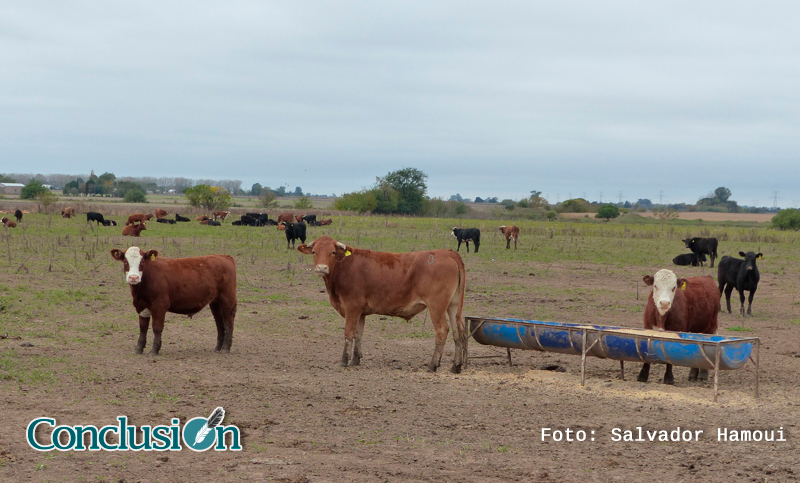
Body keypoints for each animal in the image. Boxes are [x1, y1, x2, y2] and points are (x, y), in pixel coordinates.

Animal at [296, 236, 466, 372]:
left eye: (332, 252)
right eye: (314, 252)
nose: (322, 268)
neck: (345, 266)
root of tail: (447, 252)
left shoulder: (352, 307)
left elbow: (349, 333)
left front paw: (344, 361)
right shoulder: (361, 312)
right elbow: (358, 334)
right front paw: (355, 359)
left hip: (436, 307)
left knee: (442, 331)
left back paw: (432, 365)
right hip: (453, 306)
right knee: (458, 332)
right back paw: (456, 366)